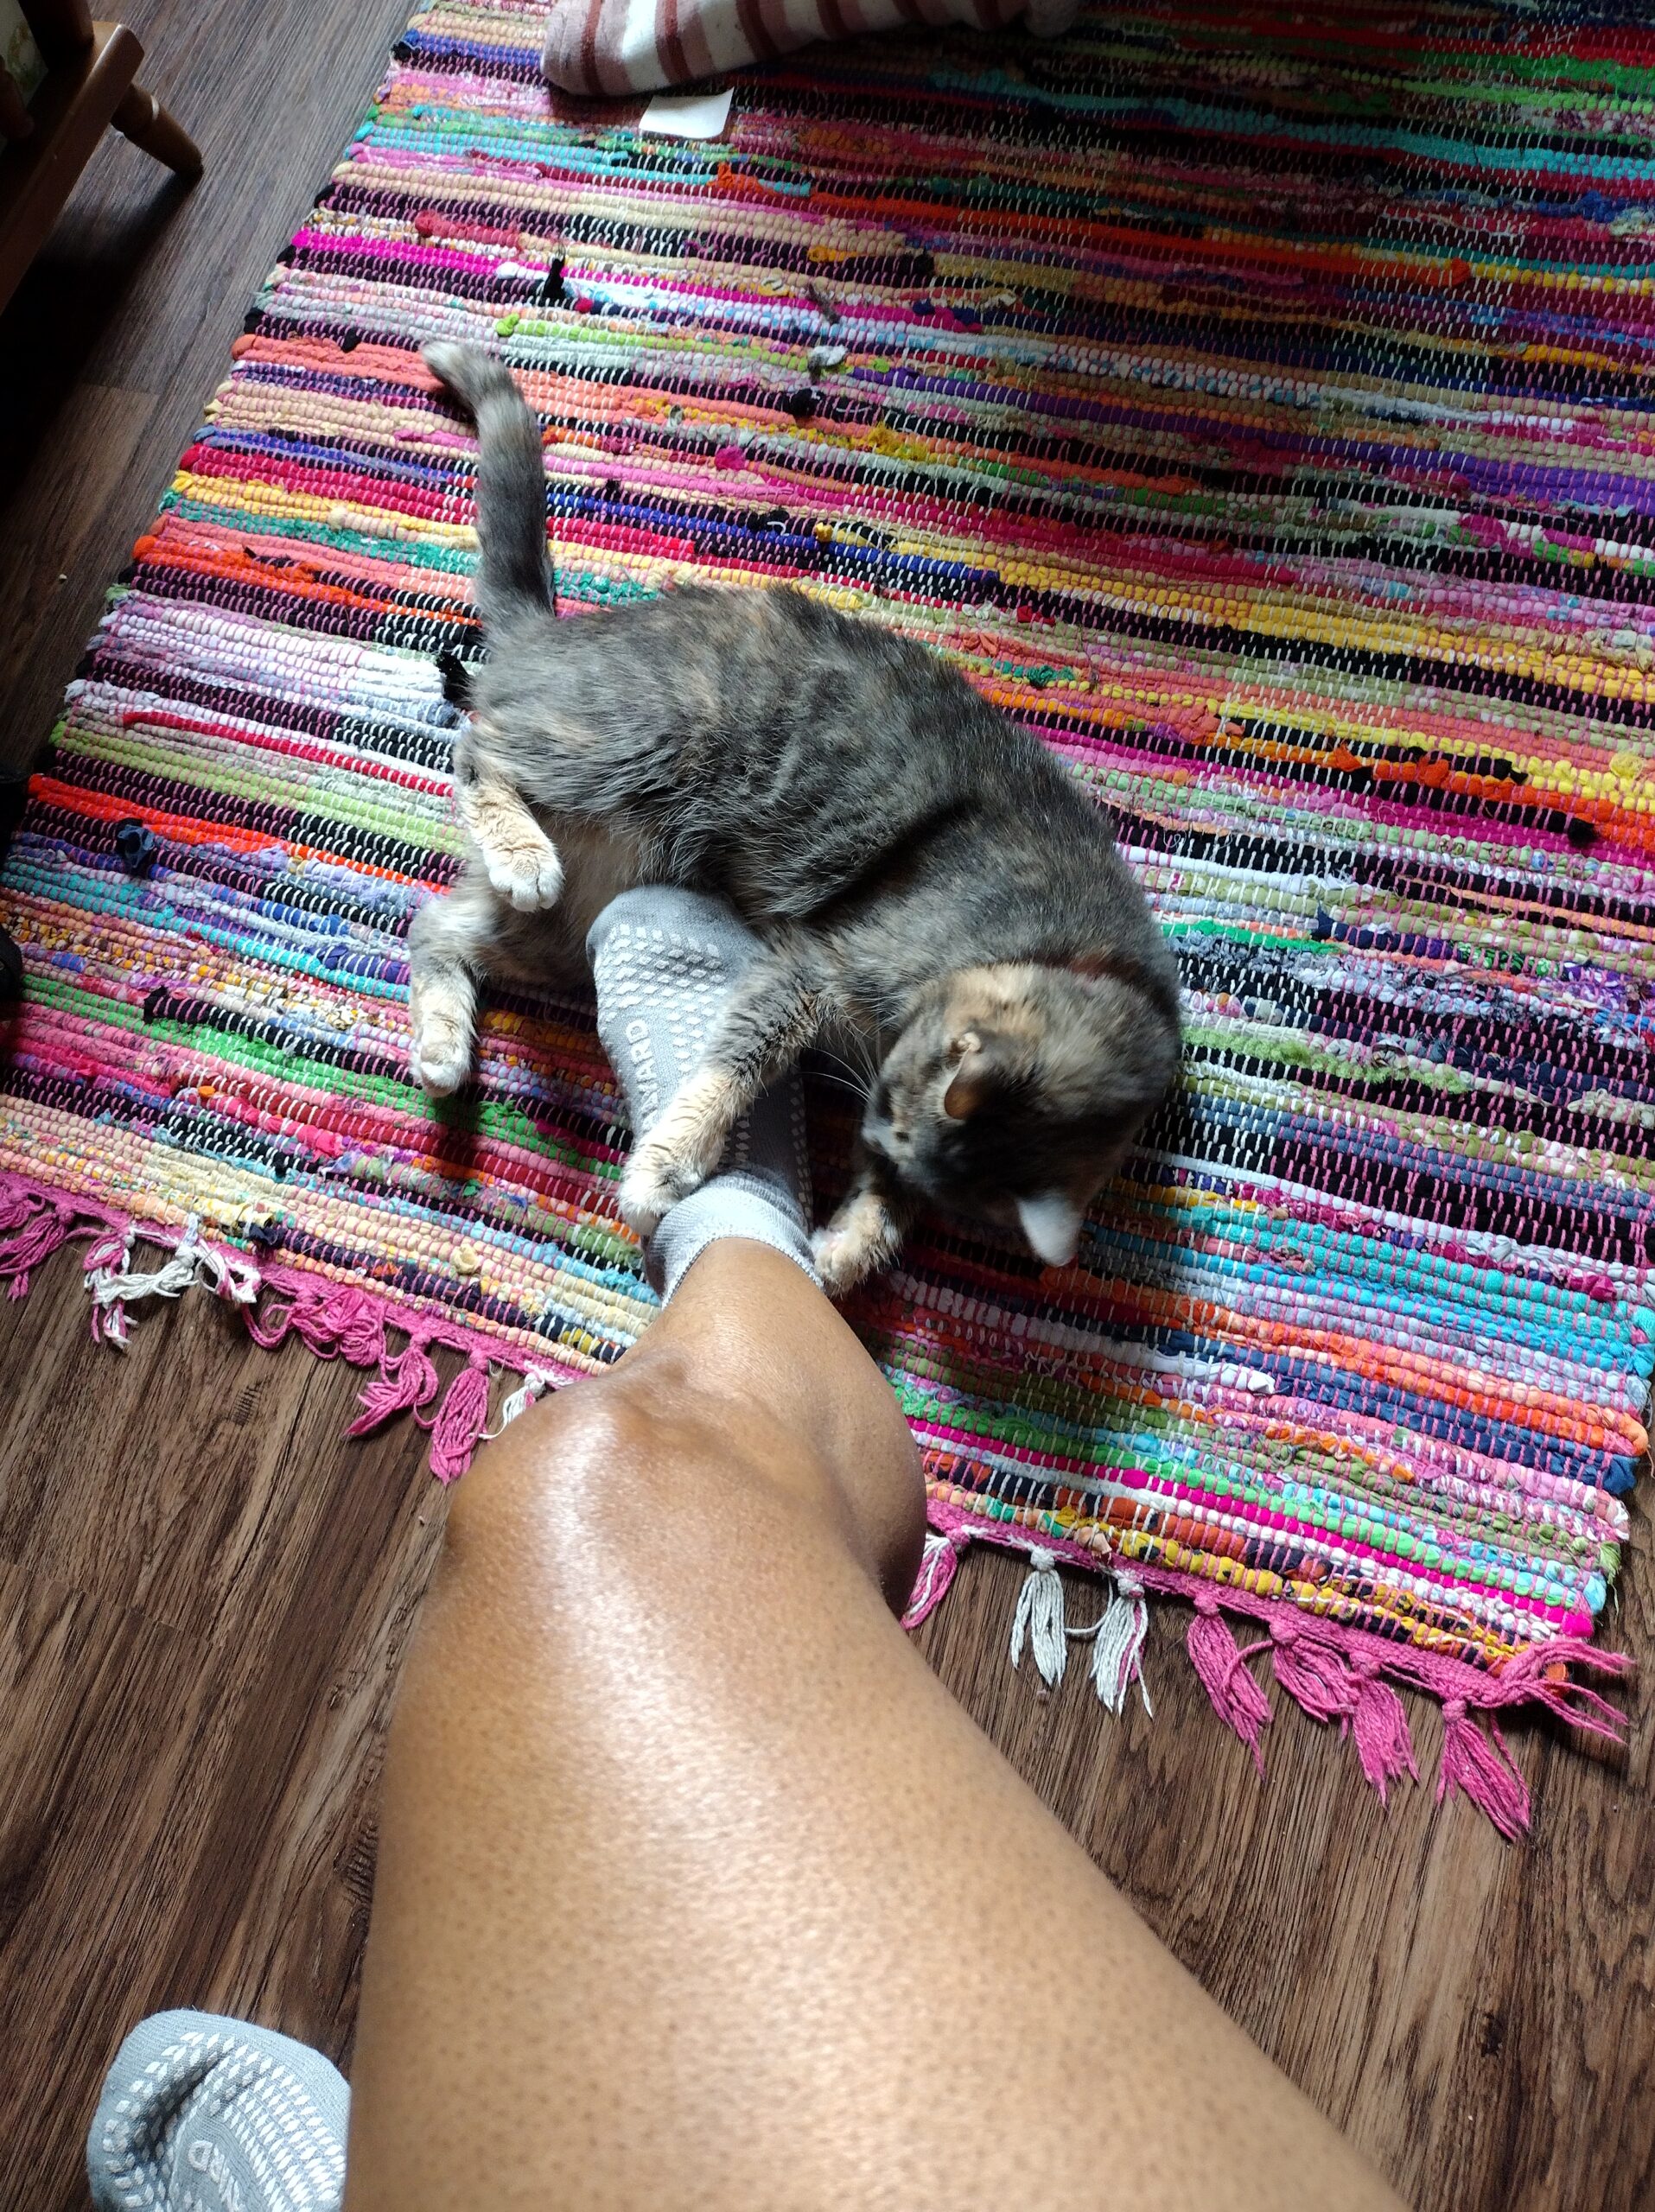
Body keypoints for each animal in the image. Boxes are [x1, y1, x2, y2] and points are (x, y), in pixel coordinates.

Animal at [409, 342, 1182, 1292]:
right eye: (891, 1103)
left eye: (899, 1138)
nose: (870, 1135)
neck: (1069, 956)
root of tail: (555, 634)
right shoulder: (811, 972)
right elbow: (733, 1066)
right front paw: (668, 1167)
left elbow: (891, 1216)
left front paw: (849, 1247)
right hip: (644, 745)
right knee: (477, 747)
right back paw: (519, 852)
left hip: (571, 925)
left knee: (437, 924)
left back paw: (443, 1045)